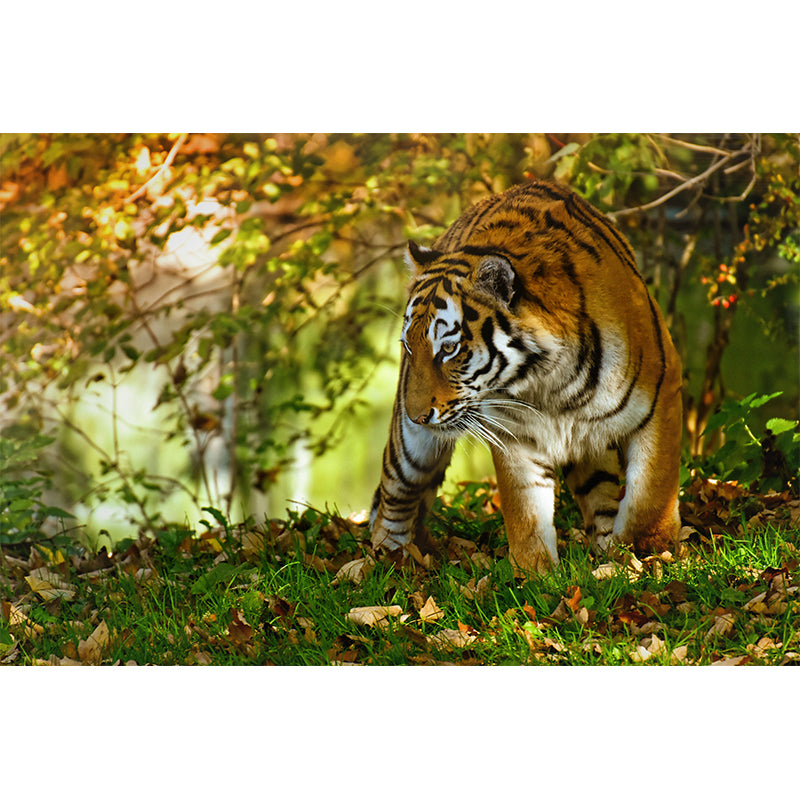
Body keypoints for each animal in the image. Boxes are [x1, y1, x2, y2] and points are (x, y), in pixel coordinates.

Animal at [369, 179, 682, 575]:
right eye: (410, 346)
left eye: (449, 349)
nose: (417, 415)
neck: (549, 383)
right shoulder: (513, 434)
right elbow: (526, 513)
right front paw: (536, 575)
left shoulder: (662, 394)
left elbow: (651, 493)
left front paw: (648, 549)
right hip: (410, 451)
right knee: (394, 497)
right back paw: (385, 562)